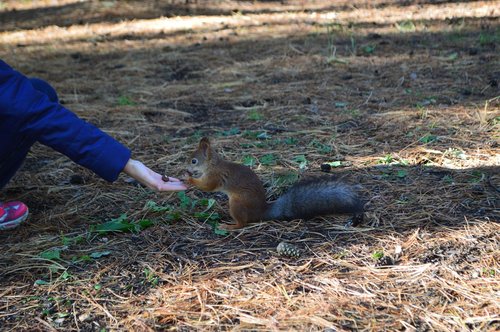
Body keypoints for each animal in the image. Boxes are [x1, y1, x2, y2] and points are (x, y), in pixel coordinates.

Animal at [184, 136, 364, 230]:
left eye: (193, 161)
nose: (186, 168)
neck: (212, 165)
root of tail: (261, 212)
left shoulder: (215, 176)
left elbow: (208, 186)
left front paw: (188, 178)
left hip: (237, 203)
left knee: (243, 223)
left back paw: (230, 226)